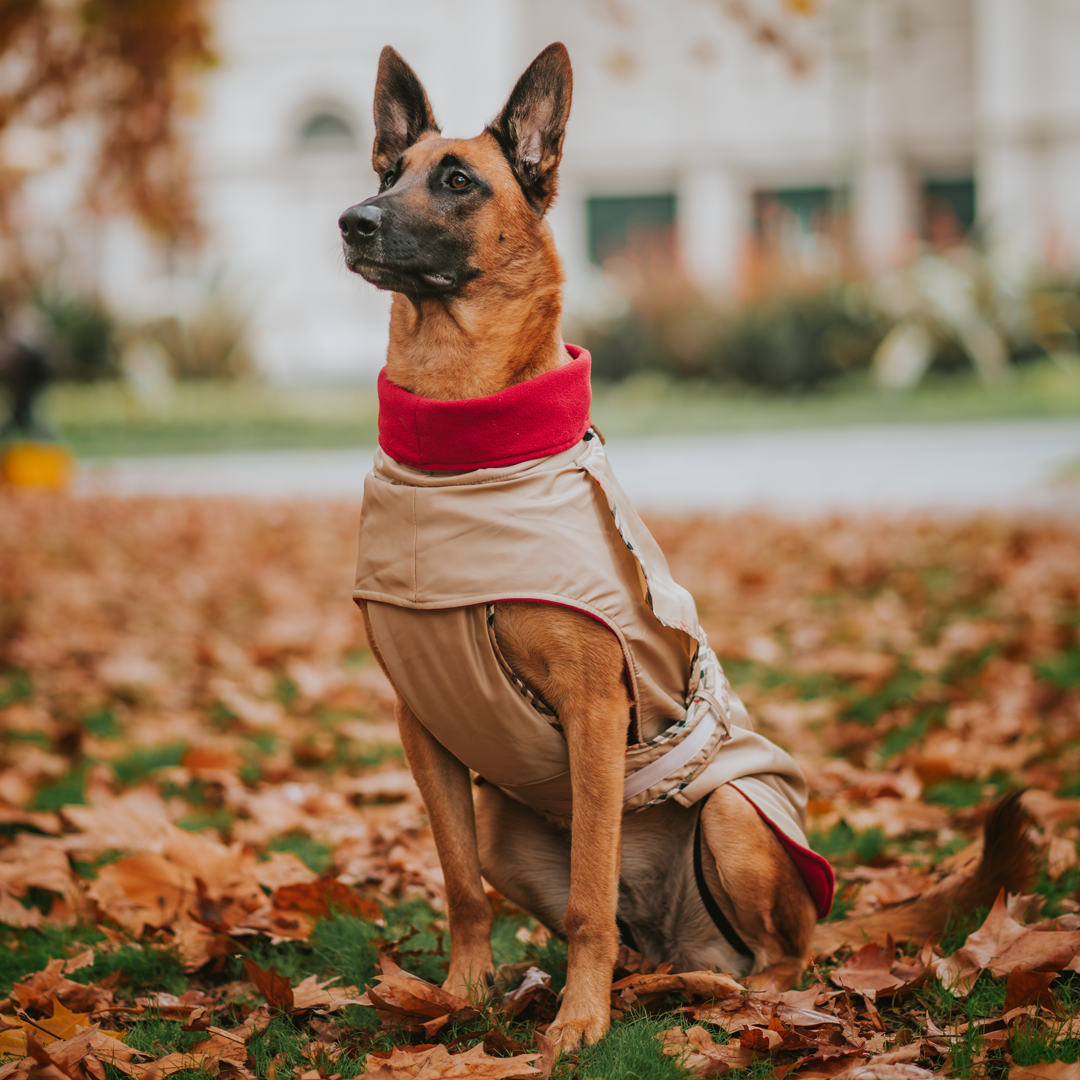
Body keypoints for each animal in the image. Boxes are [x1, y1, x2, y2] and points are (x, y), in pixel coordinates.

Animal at [341, 46, 1032, 1049]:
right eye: (389, 171)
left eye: (458, 181)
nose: (354, 221)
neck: (462, 450)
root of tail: (687, 945)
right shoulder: (421, 727)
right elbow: (460, 882)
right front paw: (463, 993)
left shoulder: (594, 713)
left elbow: (589, 894)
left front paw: (579, 1023)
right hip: (513, 827)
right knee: (616, 925)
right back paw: (637, 979)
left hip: (738, 818)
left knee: (779, 954)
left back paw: (725, 994)